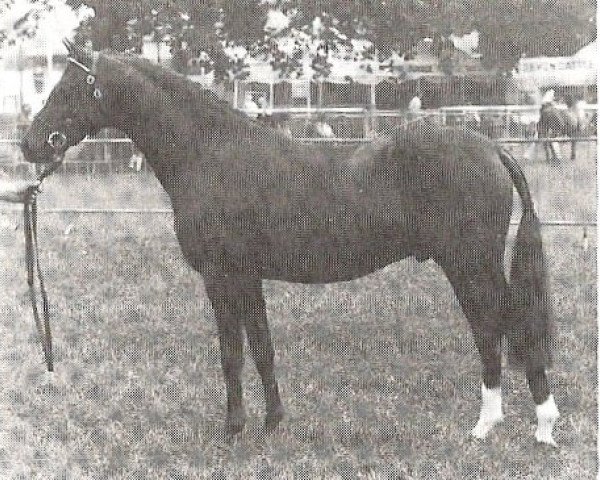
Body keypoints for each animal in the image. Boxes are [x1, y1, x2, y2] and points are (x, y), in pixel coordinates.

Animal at [21, 44, 560, 446]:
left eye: (68, 88)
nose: (30, 144)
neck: (211, 153)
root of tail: (490, 147)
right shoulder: (248, 278)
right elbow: (262, 348)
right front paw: (273, 421)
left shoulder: (222, 278)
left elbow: (231, 354)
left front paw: (233, 429)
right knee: (492, 328)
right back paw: (494, 423)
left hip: (471, 264)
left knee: (507, 324)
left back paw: (536, 426)